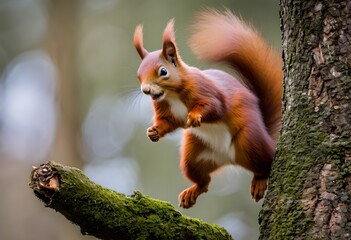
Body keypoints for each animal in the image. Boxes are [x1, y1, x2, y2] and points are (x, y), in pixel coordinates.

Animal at [133, 9, 282, 208]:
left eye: (163, 71)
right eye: (138, 75)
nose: (146, 90)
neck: (171, 95)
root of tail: (229, 159)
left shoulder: (207, 91)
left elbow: (214, 107)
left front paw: (195, 115)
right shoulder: (166, 109)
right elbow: (169, 122)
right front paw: (154, 131)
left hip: (250, 141)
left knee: (266, 164)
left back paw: (259, 180)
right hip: (193, 158)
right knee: (204, 182)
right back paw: (191, 192)